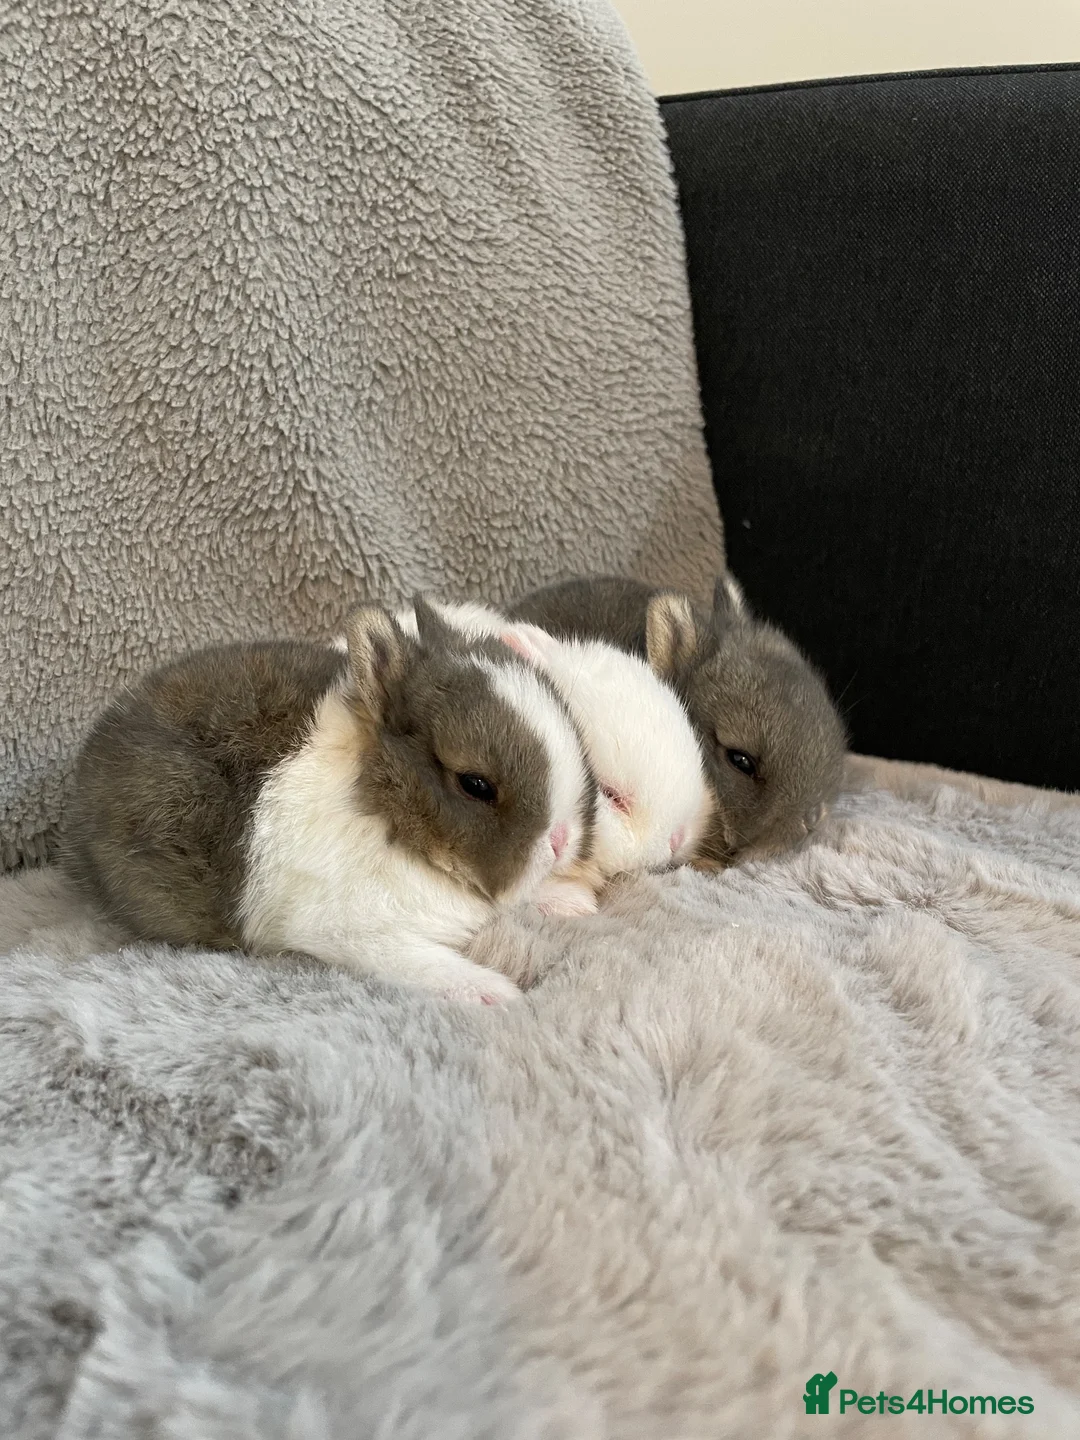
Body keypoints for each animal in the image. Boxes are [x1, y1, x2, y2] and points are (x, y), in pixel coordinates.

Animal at [62, 599, 598, 1005]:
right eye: (475, 784)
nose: (562, 840)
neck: (390, 816)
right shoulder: (350, 933)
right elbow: (421, 964)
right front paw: (492, 992)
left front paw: (569, 899)